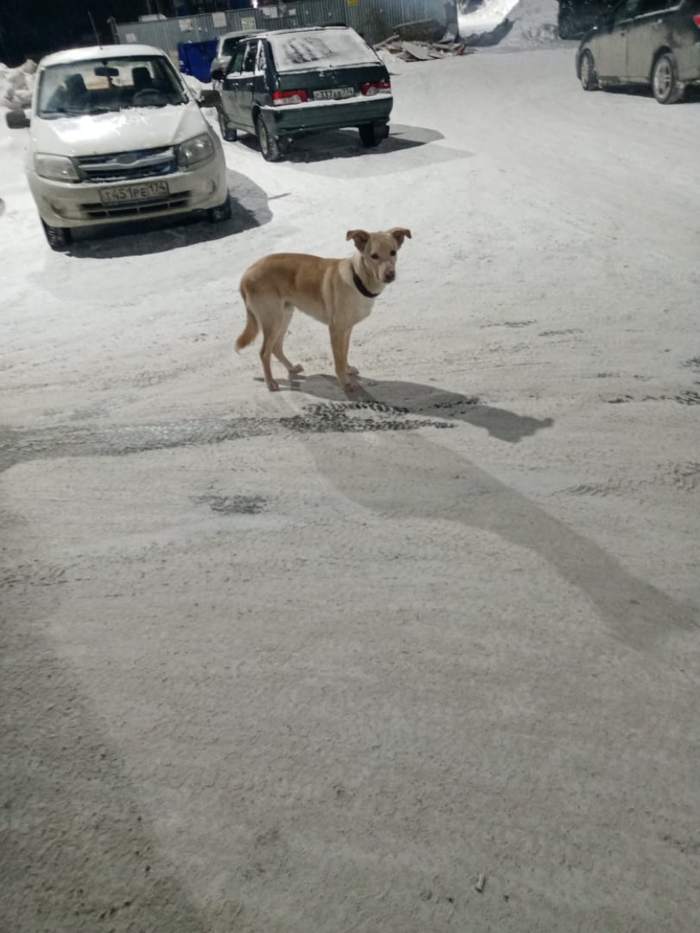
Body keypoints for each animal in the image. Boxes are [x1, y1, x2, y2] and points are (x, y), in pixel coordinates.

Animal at [237, 228, 410, 392]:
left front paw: (347, 370)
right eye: (374, 256)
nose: (390, 275)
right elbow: (338, 359)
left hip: (284, 316)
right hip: (273, 320)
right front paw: (345, 382)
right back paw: (270, 382)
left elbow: (344, 353)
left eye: (393, 252)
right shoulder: (336, 330)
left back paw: (291, 368)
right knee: (264, 352)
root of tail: (245, 274)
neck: (357, 279)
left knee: (276, 347)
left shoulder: (346, 329)